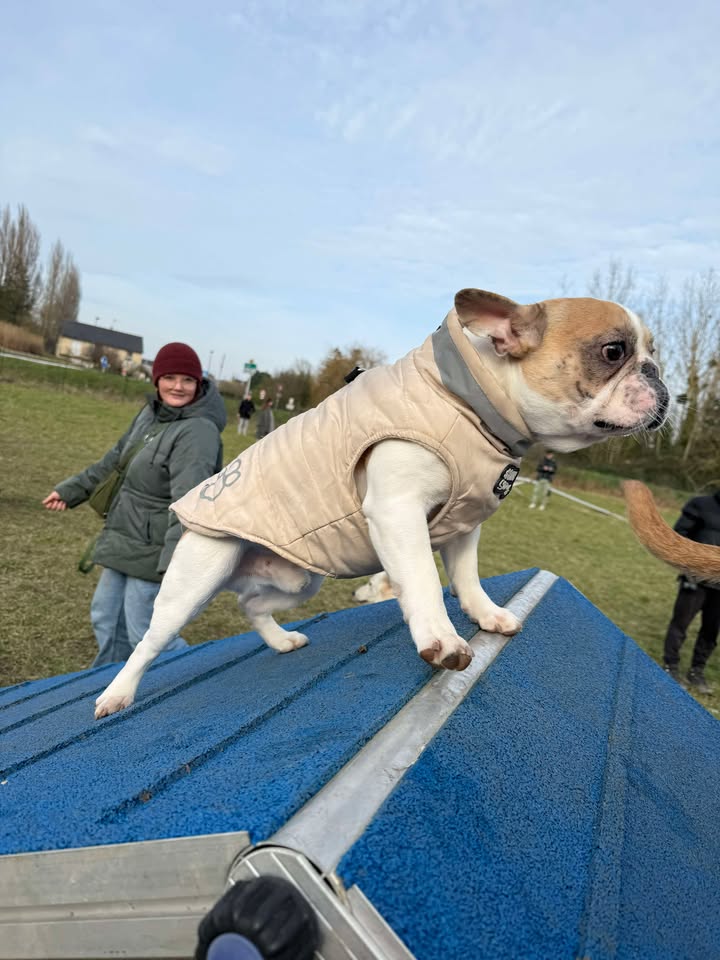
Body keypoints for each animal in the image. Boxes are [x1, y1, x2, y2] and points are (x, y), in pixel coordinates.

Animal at [95, 289, 670, 718]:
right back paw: (116, 695)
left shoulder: (466, 525)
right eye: (614, 352)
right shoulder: (398, 512)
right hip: (198, 577)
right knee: (150, 641)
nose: (660, 377)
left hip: (298, 580)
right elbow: (423, 580)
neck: (472, 400)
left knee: (252, 605)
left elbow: (467, 577)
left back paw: (281, 642)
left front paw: (486, 614)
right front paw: (441, 639)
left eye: (652, 353)